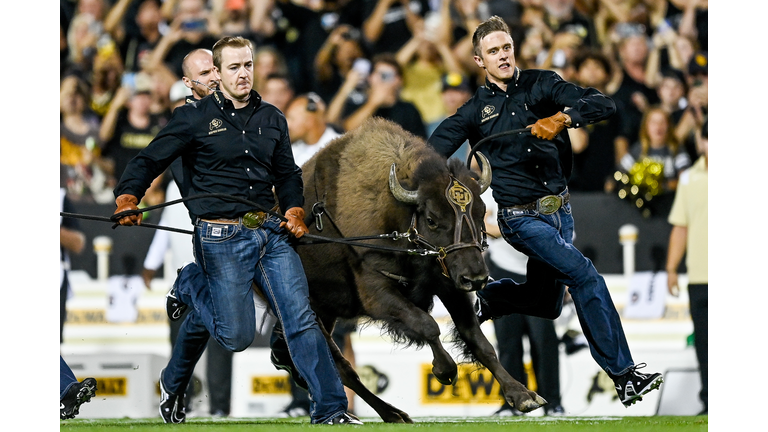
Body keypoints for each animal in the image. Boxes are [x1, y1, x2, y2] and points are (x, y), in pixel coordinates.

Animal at [270, 117, 544, 422]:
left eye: (481, 212)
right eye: (432, 219)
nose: (476, 278)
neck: (398, 213)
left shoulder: (449, 286)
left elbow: (478, 340)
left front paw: (524, 397)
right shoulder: (379, 294)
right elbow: (428, 325)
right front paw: (446, 371)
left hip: (326, 313)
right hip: (307, 310)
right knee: (341, 367)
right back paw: (392, 413)